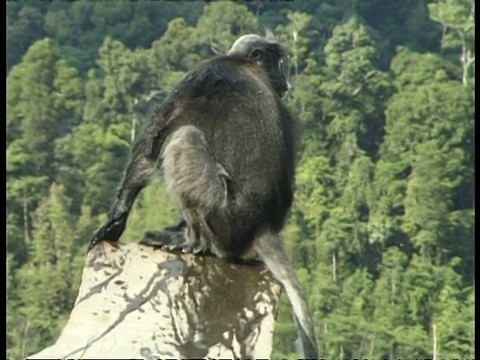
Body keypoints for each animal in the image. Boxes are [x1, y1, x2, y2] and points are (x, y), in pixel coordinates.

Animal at [88, 33, 320, 358]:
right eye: (279, 62)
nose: (285, 79)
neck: (240, 63)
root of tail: (262, 228)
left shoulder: (203, 73)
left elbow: (156, 134)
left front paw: (117, 217)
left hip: (223, 219)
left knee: (183, 138)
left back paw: (193, 241)